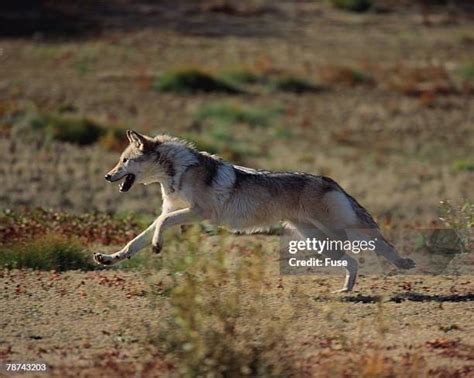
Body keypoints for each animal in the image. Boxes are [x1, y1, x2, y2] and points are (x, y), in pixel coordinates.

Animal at [93, 131, 414, 292]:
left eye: (124, 161)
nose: (107, 176)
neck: (177, 173)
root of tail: (330, 180)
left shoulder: (199, 213)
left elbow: (161, 223)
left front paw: (158, 245)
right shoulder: (178, 212)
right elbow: (136, 240)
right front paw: (109, 258)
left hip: (339, 233)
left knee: (376, 245)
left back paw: (400, 264)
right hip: (321, 243)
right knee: (353, 261)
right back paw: (346, 292)